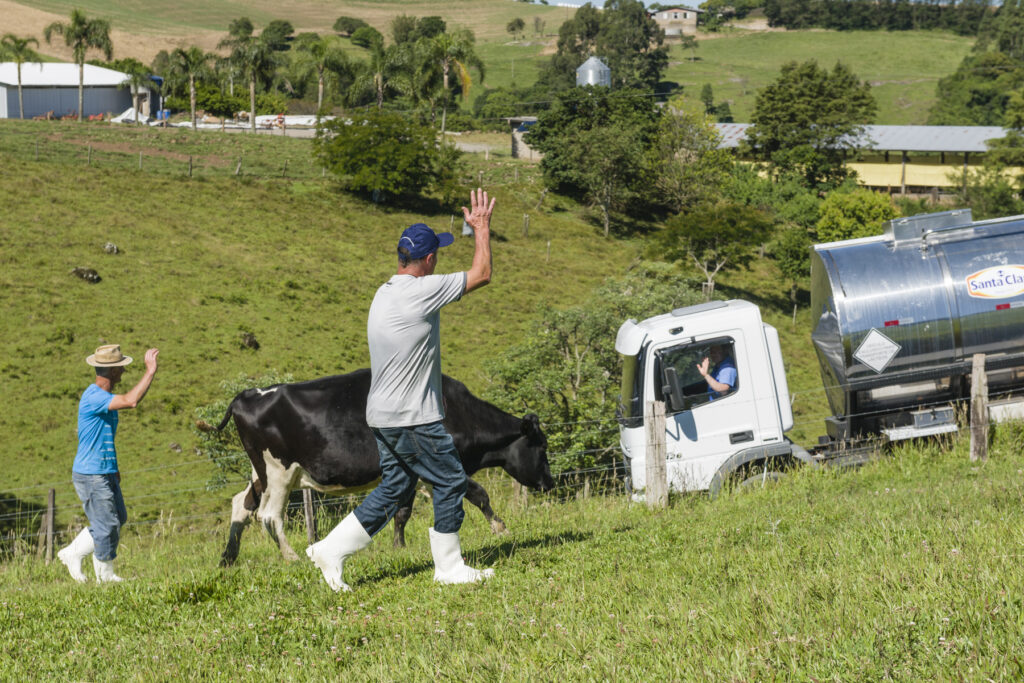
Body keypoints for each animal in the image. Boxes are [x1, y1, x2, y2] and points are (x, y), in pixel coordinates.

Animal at [215, 368, 552, 565]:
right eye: (543, 446)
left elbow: (402, 512)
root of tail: (248, 395)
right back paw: (292, 557)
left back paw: (228, 558)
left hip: (261, 472)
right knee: (269, 515)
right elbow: (479, 493)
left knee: (241, 505)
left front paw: (398, 546)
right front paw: (500, 528)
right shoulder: (442, 462)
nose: (549, 482)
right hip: (278, 471)